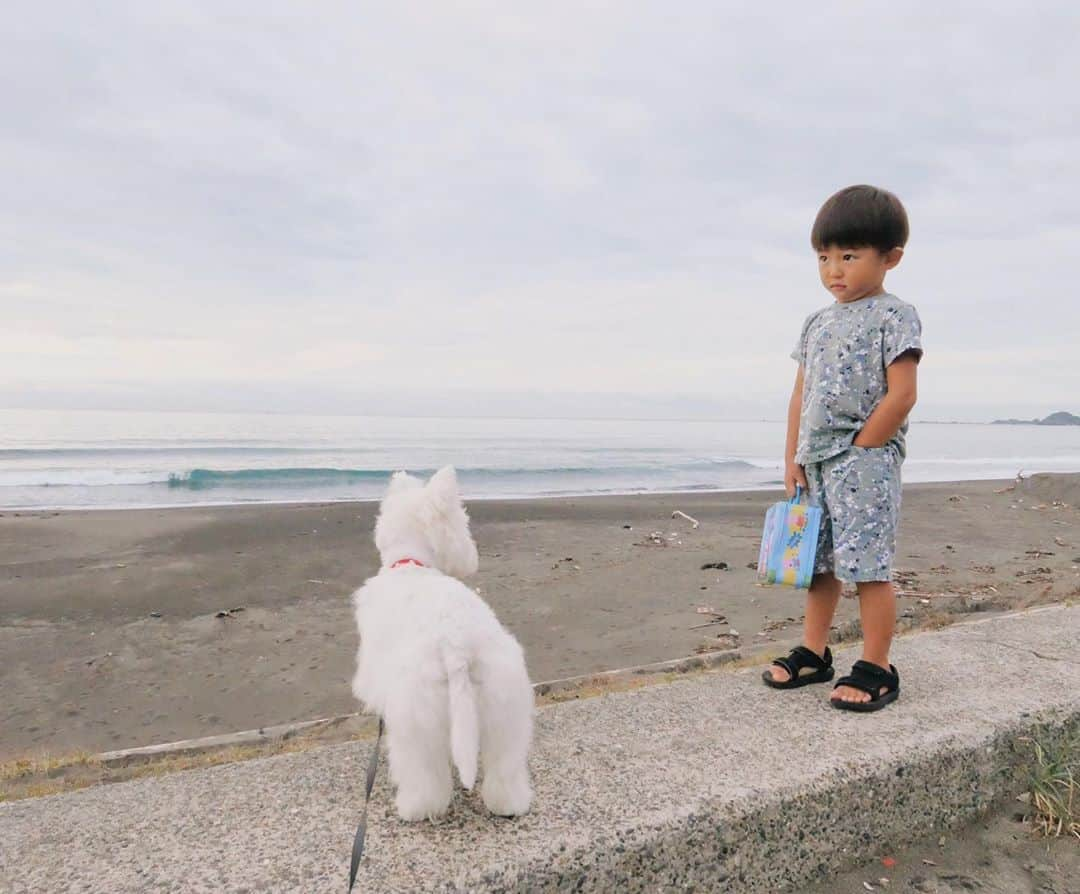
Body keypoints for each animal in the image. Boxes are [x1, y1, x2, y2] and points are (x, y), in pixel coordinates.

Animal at [349, 468, 535, 824]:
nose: (472, 555)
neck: (411, 563)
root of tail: (457, 646)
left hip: (415, 722)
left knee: (424, 776)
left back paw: (414, 809)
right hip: (504, 709)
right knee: (504, 770)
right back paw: (509, 804)